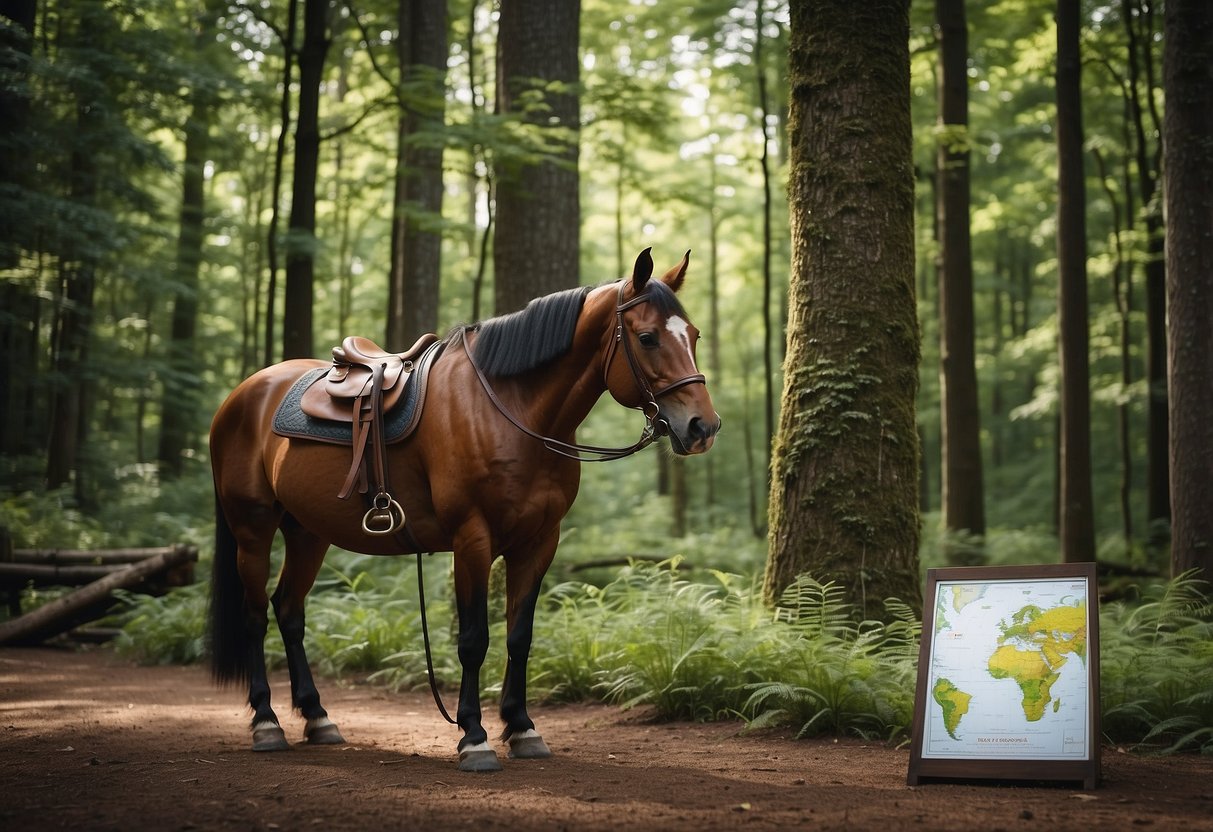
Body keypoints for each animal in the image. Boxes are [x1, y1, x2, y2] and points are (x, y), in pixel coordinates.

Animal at [208, 249, 718, 776]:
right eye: (648, 337)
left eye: (694, 335)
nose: (703, 426)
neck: (512, 409)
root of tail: (243, 394)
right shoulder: (472, 539)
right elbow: (474, 639)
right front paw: (474, 736)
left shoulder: (539, 543)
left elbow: (519, 637)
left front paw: (522, 727)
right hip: (253, 530)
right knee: (255, 617)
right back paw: (266, 722)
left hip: (308, 533)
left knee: (289, 611)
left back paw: (316, 716)